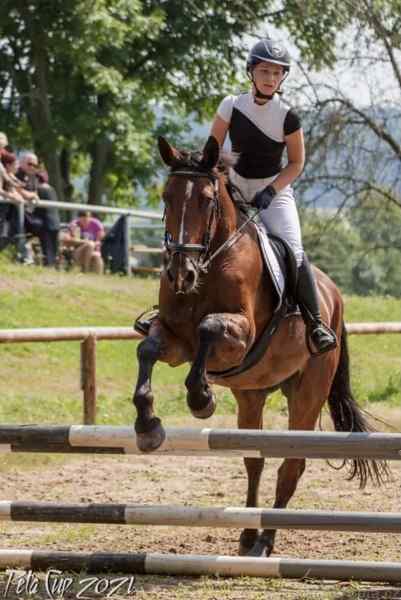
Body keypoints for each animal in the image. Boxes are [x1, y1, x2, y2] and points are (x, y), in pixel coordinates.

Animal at [132, 136, 388, 556]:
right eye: (166, 196)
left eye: (207, 200)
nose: (180, 274)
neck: (209, 264)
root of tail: (333, 295)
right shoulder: (173, 339)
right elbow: (148, 350)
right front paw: (148, 426)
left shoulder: (240, 336)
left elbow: (208, 328)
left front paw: (201, 399)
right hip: (252, 394)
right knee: (255, 459)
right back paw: (249, 534)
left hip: (307, 394)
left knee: (291, 465)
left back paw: (266, 540)